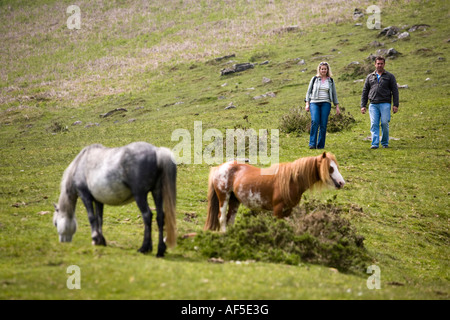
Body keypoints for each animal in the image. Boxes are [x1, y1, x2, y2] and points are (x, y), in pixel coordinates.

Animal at [204, 151, 344, 231]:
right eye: (330, 168)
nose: (341, 183)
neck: (291, 180)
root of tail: (219, 167)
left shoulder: (288, 210)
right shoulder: (277, 209)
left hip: (234, 200)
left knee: (230, 219)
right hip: (224, 198)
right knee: (222, 218)